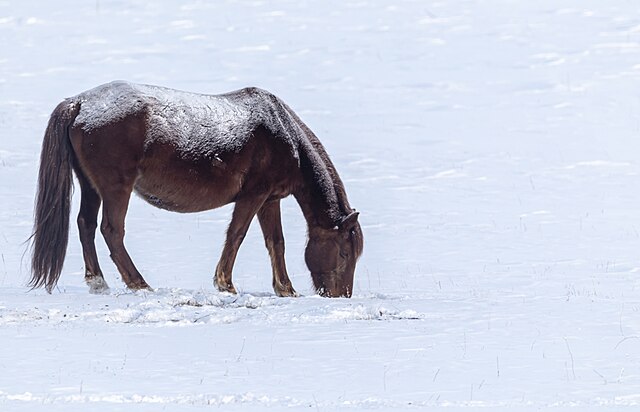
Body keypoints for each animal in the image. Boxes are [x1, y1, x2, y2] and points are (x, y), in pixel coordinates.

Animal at [30, 82, 362, 298]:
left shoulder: (270, 200)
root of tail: (80, 103)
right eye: (344, 252)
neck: (283, 133)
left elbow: (275, 242)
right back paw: (138, 283)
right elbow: (237, 235)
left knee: (85, 225)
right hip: (115, 188)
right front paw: (225, 283)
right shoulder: (254, 195)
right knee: (111, 231)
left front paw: (286, 289)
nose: (340, 295)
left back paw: (98, 282)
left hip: (91, 186)